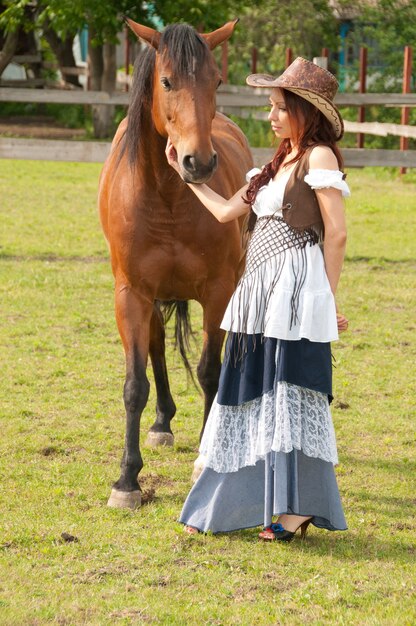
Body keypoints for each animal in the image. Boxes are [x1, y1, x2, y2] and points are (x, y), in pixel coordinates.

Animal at [99, 18, 252, 508]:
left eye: (216, 81)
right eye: (166, 81)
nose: (197, 162)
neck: (167, 196)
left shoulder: (219, 292)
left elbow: (209, 372)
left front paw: (207, 457)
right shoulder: (131, 294)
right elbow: (135, 384)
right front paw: (126, 480)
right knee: (157, 345)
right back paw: (162, 421)